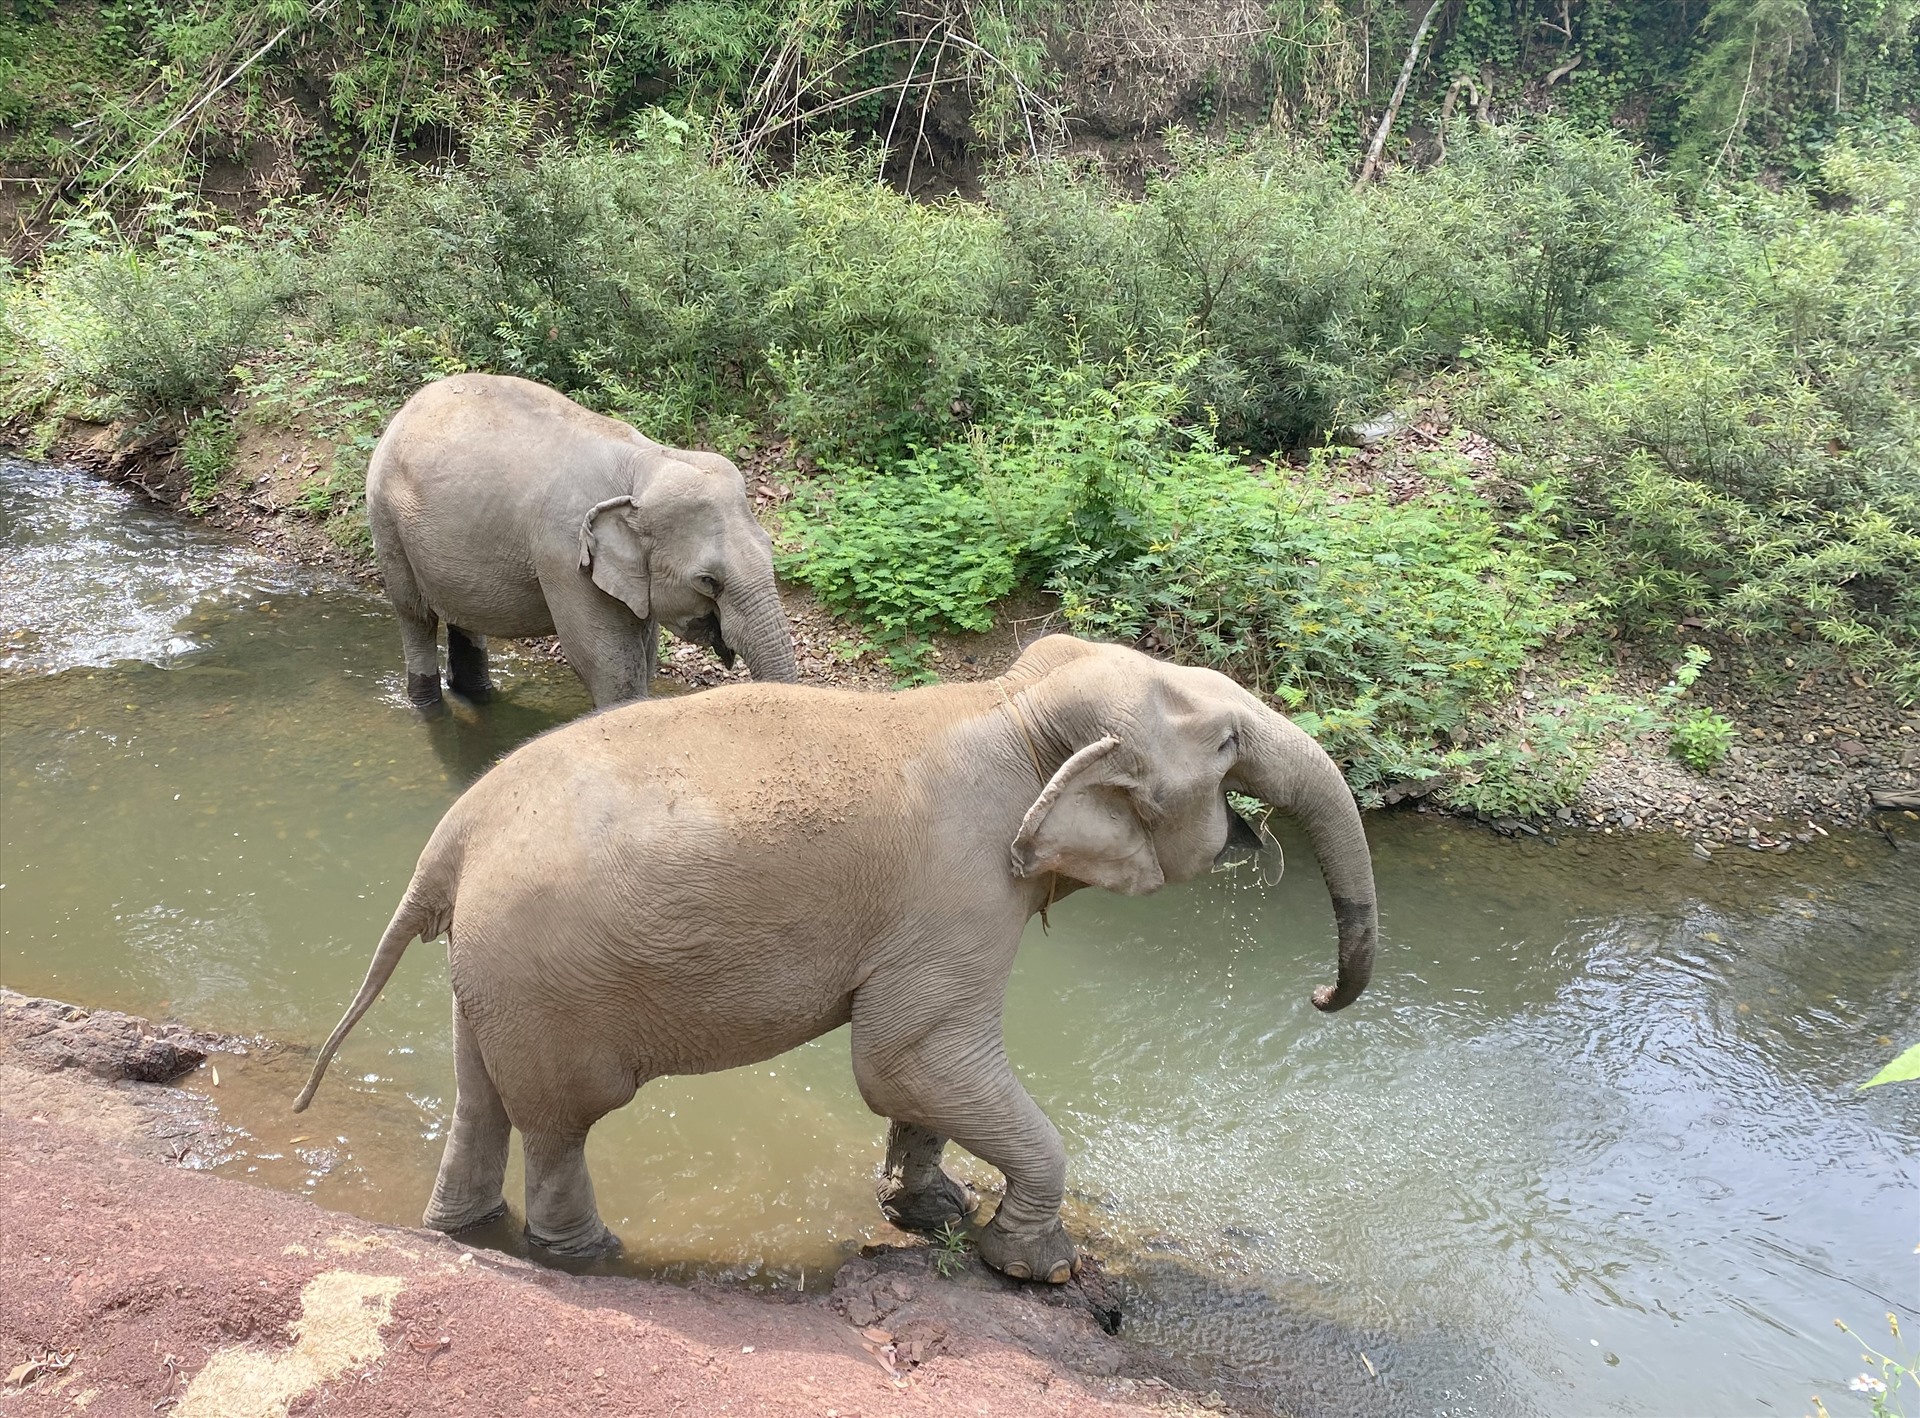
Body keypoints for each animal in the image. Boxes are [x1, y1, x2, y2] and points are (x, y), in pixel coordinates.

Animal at [291, 637, 1382, 1281]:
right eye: (1229, 741)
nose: (1321, 991)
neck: (1015, 702)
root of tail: (453, 833)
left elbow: (923, 1066)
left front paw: (930, 1210)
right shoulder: (962, 882)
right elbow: (907, 1055)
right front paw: (1033, 1262)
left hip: (492, 971)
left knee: (481, 1095)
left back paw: (463, 1232)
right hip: (545, 976)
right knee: (563, 1118)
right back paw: (589, 1254)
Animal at [366, 374, 794, 709]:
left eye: (771, 550)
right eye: (707, 581)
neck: (646, 461)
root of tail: (406, 408)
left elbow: (643, 655)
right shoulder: (565, 554)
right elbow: (608, 661)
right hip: (386, 520)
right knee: (414, 614)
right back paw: (426, 704)